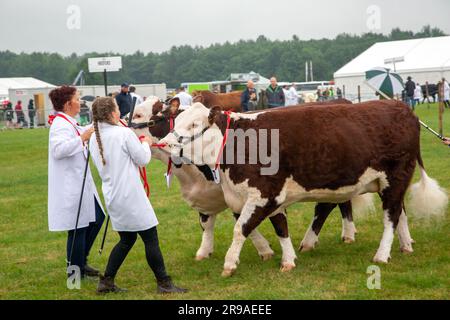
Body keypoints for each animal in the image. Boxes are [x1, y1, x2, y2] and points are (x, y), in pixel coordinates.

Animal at [161, 100, 446, 278]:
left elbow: (240, 229)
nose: (164, 143)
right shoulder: (271, 195)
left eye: (194, 125)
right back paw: (406, 244)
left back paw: (382, 254)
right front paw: (288, 260)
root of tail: (402, 108)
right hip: (391, 182)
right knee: (400, 212)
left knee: (390, 217)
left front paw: (230, 264)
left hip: (395, 177)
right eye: (176, 121)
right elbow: (281, 229)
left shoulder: (264, 194)